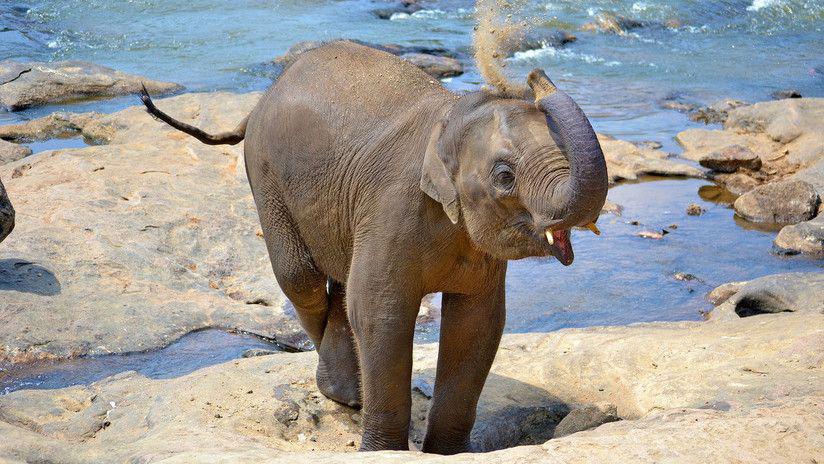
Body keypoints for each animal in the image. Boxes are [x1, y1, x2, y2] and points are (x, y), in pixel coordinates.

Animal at [141, 40, 607, 453]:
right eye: (505, 176)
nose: (534, 76)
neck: (451, 116)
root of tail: (260, 100)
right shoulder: (392, 207)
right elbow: (380, 312)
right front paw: (383, 449)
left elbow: (477, 322)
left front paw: (450, 453)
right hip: (266, 177)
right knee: (301, 279)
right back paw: (343, 394)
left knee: (340, 281)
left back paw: (348, 394)